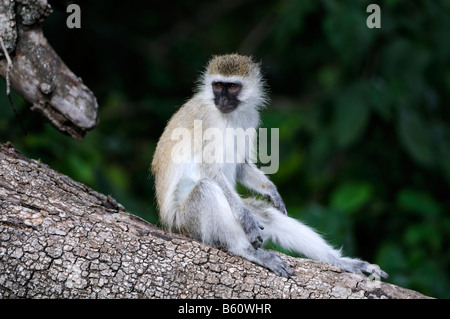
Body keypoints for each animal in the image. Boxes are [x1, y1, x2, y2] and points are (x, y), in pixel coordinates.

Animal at [151, 53, 386, 278]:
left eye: (232, 87)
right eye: (218, 86)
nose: (223, 99)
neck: (228, 115)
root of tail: (169, 223)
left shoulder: (250, 117)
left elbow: (241, 166)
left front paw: (271, 190)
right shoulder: (204, 120)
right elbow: (209, 170)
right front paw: (246, 219)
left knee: (269, 215)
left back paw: (341, 262)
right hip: (186, 222)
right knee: (206, 189)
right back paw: (247, 250)